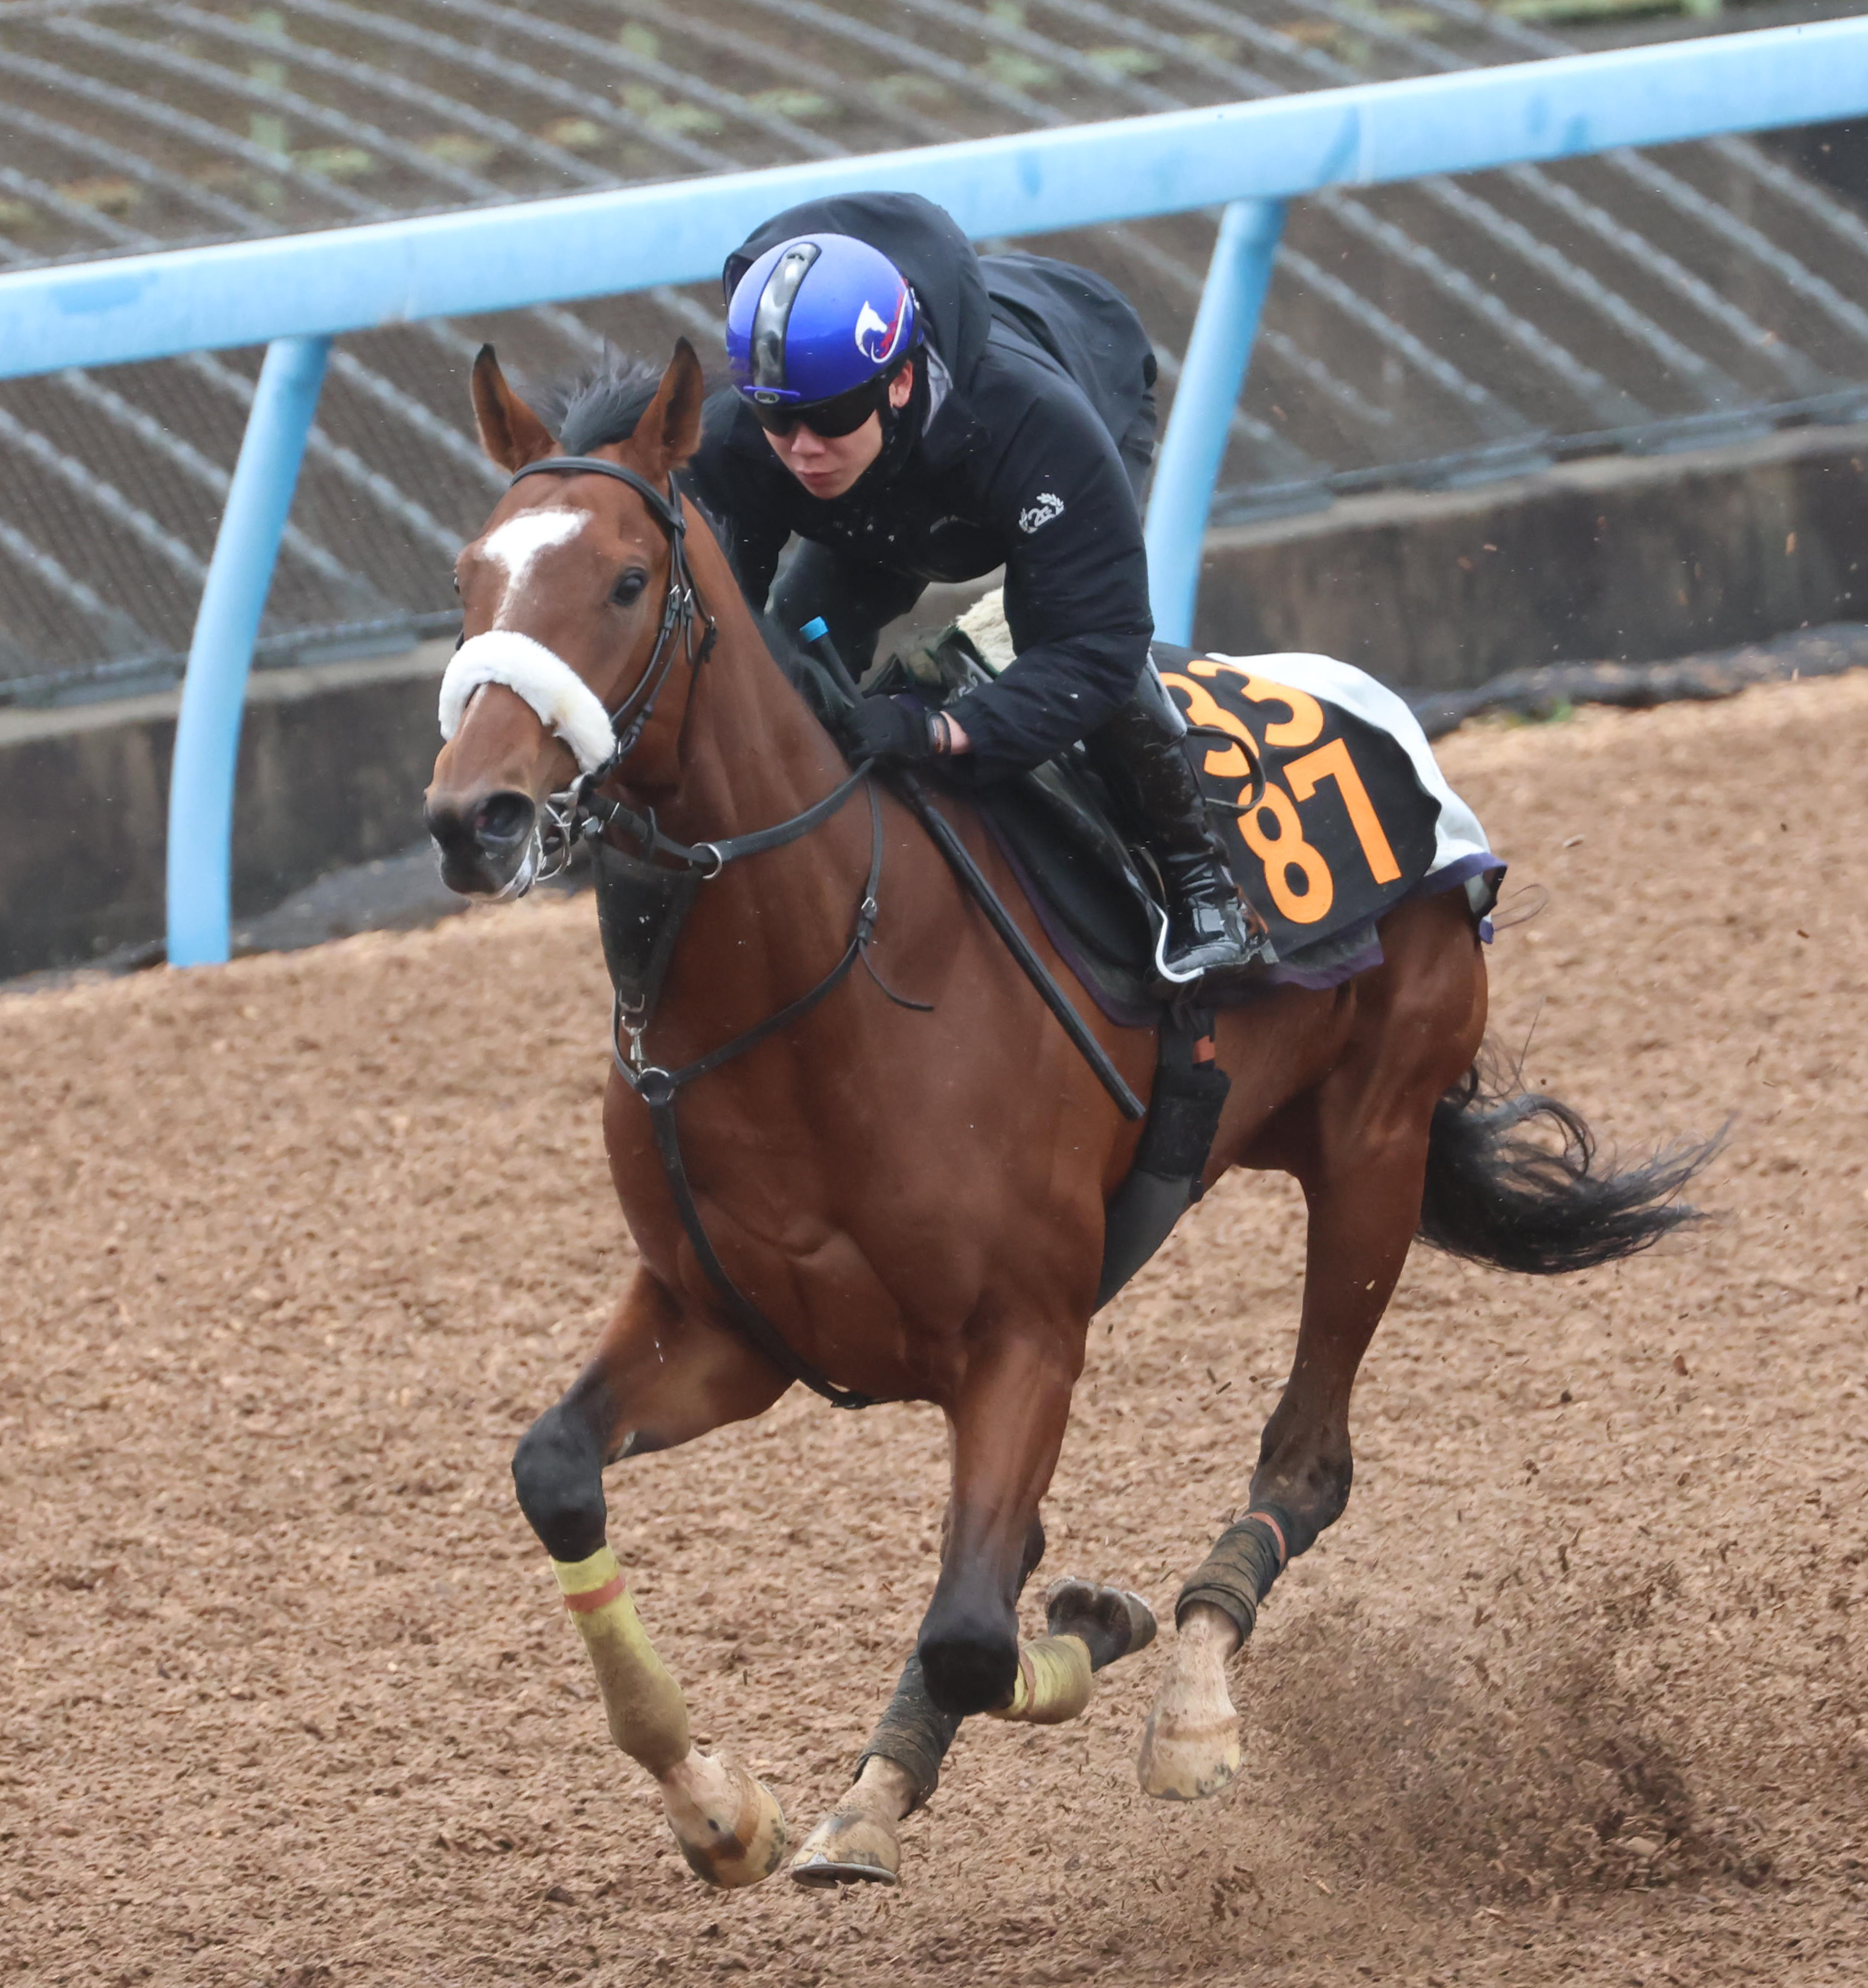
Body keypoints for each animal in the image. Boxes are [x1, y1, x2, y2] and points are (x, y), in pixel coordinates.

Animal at [422, 338, 1710, 1891]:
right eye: (467, 575)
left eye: (622, 580)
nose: (473, 816)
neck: (819, 972)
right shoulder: (727, 1324)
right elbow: (556, 1471)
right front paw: (722, 1806)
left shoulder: (1025, 1332)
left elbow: (979, 1636)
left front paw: (1102, 1628)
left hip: (1374, 1145)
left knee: (1306, 1459)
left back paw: (1191, 1704)